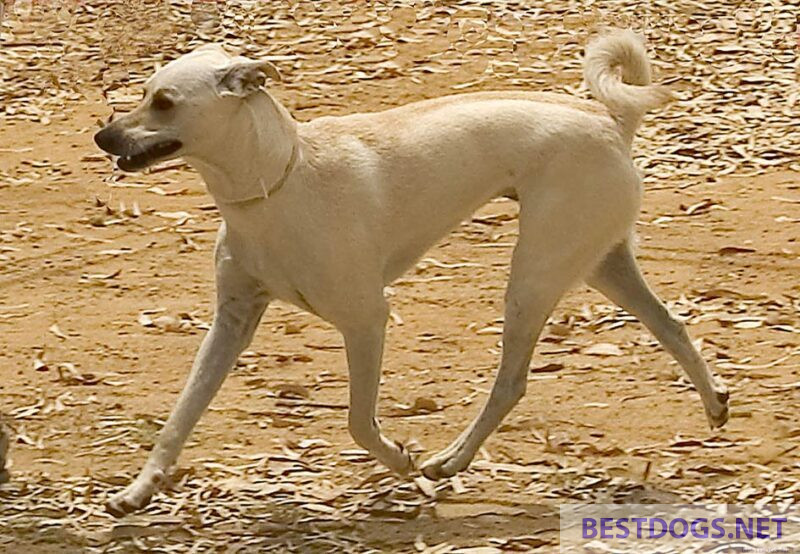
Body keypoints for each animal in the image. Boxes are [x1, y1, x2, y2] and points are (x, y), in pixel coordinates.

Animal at [95, 29, 732, 512]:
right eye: (145, 92)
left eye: (164, 102)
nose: (103, 135)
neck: (277, 182)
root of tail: (610, 118)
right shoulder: (231, 323)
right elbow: (181, 414)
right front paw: (140, 490)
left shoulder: (366, 321)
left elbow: (358, 421)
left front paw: (402, 461)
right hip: (600, 265)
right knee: (671, 326)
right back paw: (715, 402)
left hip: (533, 279)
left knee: (512, 382)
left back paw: (450, 459)